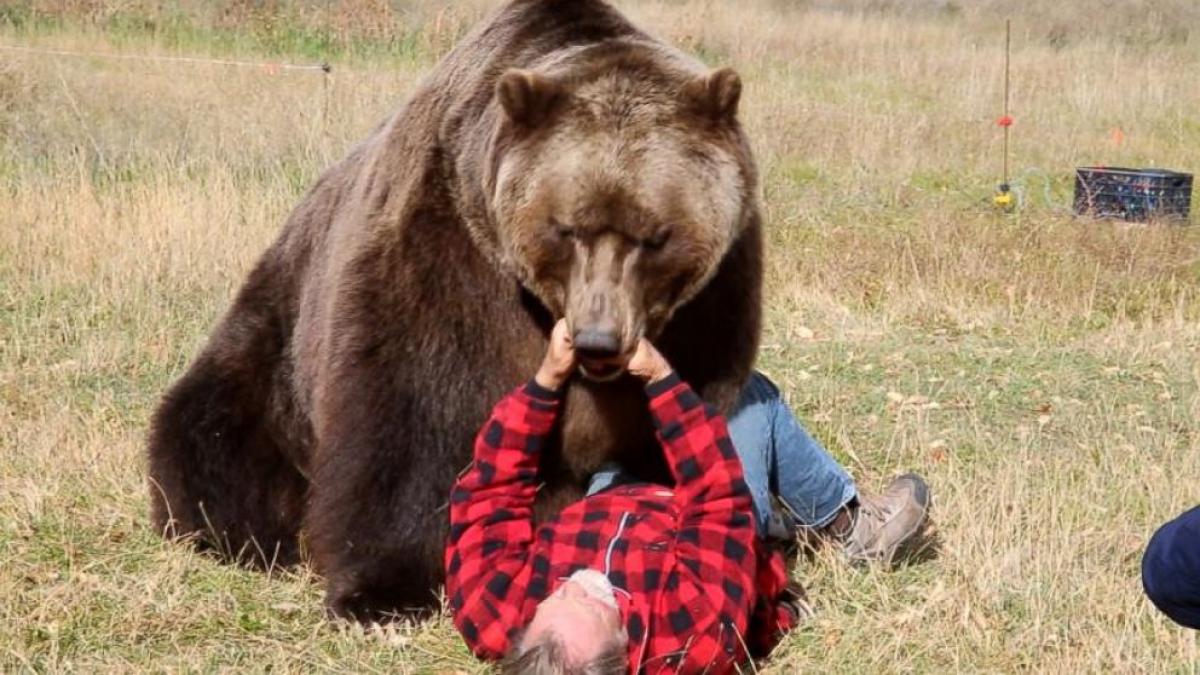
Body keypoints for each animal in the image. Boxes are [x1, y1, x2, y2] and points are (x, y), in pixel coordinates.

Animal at [147, 0, 758, 619]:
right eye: (566, 228)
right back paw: (244, 532)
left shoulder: (710, 310)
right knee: (212, 434)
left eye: (655, 236)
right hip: (277, 344)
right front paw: (382, 589)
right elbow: (412, 416)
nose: (598, 341)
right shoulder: (446, 258)